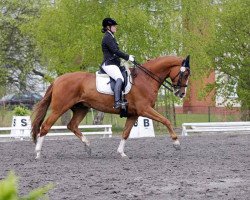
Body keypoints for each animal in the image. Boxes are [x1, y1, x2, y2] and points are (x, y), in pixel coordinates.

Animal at [32, 54, 190, 158]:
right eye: (185, 74)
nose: (181, 93)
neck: (146, 79)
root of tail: (58, 79)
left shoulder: (134, 114)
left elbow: (126, 133)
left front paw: (121, 153)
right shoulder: (145, 109)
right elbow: (166, 121)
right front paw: (176, 143)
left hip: (81, 108)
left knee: (72, 125)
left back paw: (88, 146)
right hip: (59, 108)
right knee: (45, 126)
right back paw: (38, 153)